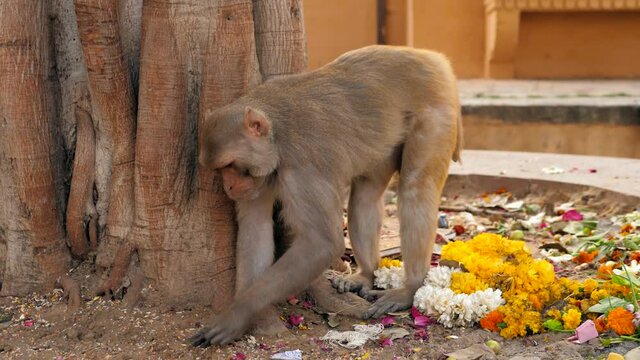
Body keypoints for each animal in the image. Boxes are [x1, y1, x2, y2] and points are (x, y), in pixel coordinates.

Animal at [192, 44, 462, 346]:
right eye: (220, 169)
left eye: (230, 165)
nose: (229, 187)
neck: (277, 137)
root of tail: (431, 56)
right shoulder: (261, 179)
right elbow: (256, 227)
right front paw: (248, 314)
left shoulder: (303, 170)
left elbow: (321, 243)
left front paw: (238, 314)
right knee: (365, 194)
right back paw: (365, 275)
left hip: (436, 111)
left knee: (417, 188)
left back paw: (409, 288)